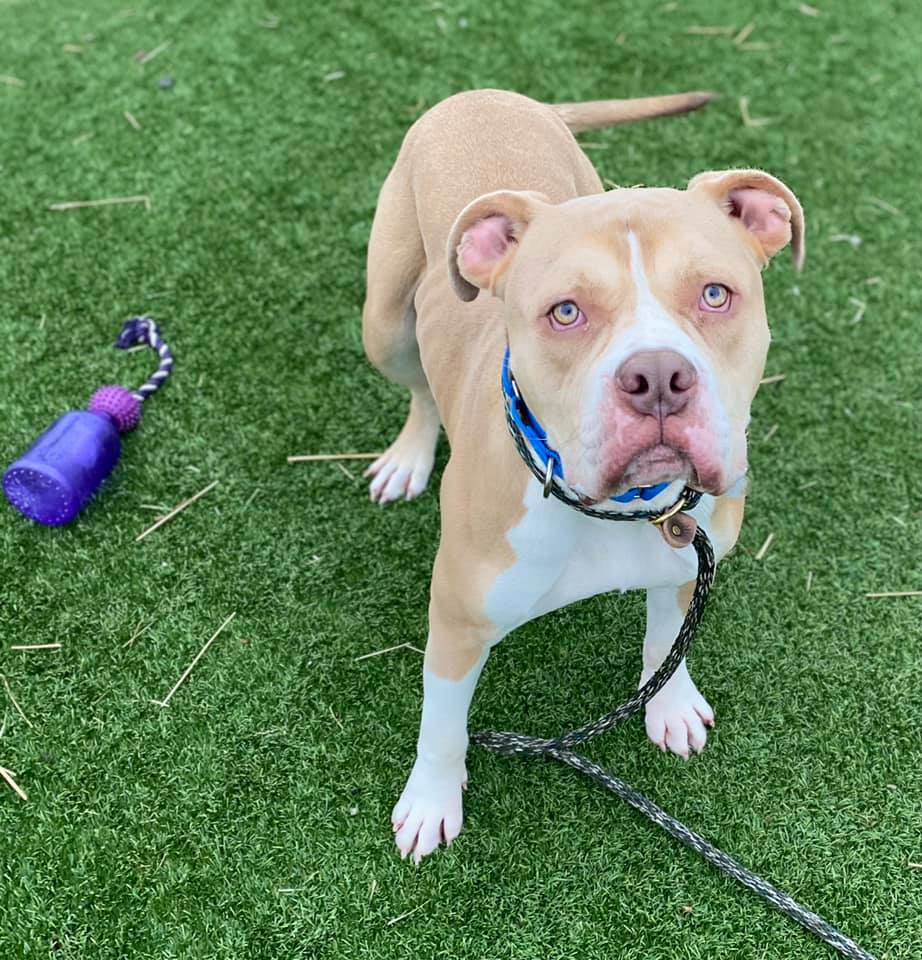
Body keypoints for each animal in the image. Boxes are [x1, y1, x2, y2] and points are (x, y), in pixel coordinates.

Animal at [358, 88, 796, 864]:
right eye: (566, 312)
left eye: (716, 295)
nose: (659, 378)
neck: (618, 509)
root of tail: (487, 94)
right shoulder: (457, 622)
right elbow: (442, 724)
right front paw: (431, 802)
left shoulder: (689, 558)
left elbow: (667, 637)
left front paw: (668, 703)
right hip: (386, 324)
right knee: (417, 388)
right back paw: (409, 457)